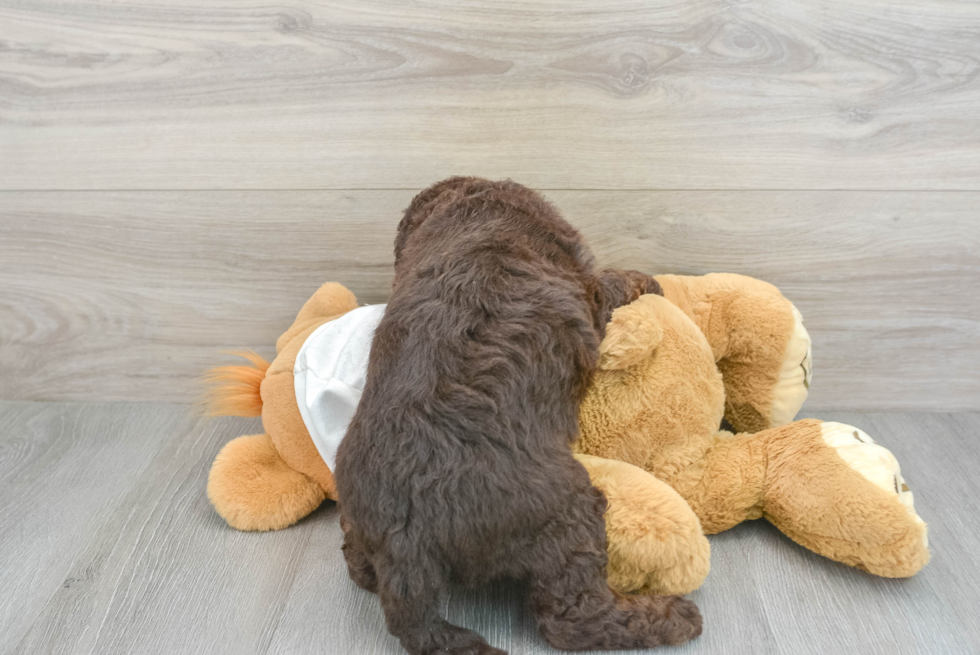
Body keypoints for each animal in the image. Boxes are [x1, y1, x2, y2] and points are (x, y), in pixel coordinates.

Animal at [336, 179, 704, 655]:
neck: (475, 209)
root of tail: (404, 543)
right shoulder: (587, 287)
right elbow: (610, 281)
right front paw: (647, 280)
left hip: (357, 511)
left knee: (356, 558)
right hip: (565, 513)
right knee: (571, 618)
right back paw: (670, 617)